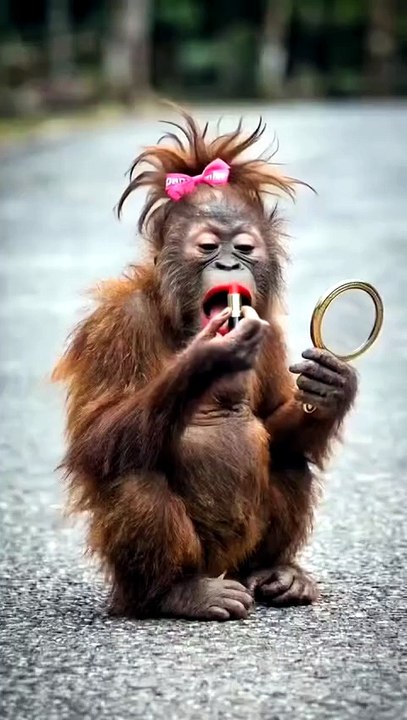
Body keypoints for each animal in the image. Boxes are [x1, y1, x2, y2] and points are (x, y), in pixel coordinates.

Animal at [52, 111, 357, 621]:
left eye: (246, 249)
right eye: (209, 246)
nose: (230, 264)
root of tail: (224, 569)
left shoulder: (270, 333)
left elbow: (274, 422)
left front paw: (332, 389)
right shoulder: (118, 323)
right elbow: (96, 439)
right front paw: (205, 359)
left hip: (239, 554)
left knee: (290, 459)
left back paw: (277, 573)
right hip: (173, 569)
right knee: (133, 476)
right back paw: (178, 593)